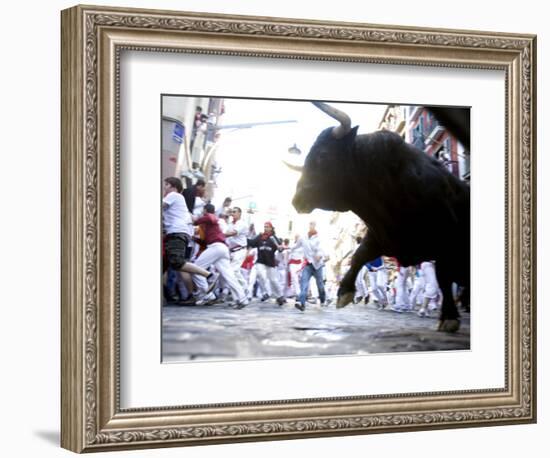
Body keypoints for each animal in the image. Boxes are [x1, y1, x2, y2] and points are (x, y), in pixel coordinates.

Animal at [294, 103, 470, 332]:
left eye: (322, 155)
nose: (296, 199)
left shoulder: (445, 240)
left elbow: (443, 277)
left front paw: (448, 317)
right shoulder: (381, 236)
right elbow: (359, 255)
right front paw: (344, 292)